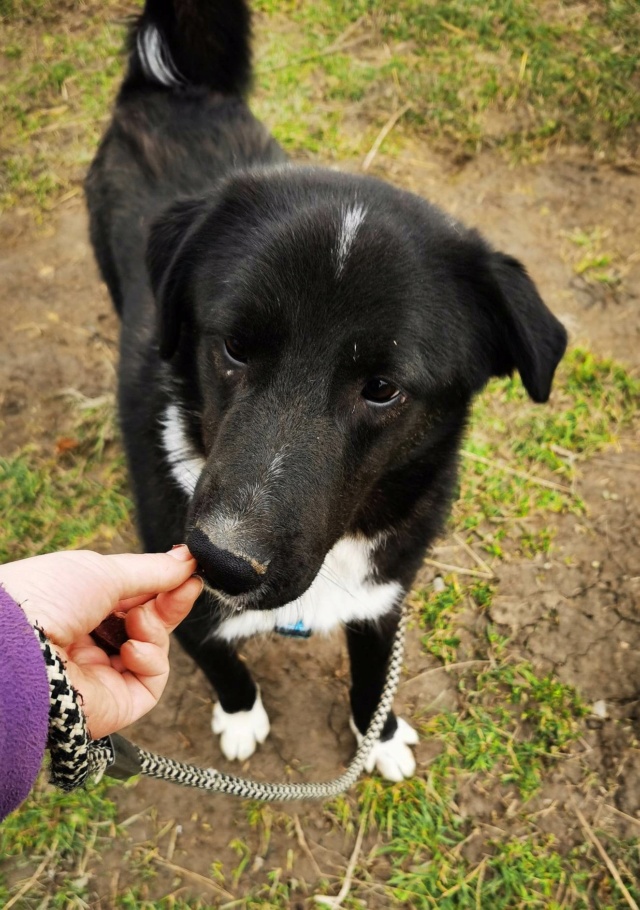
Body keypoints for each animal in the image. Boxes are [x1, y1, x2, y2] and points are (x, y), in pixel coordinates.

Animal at [85, 0, 564, 784]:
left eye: (383, 388)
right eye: (233, 347)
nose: (220, 561)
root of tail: (171, 87)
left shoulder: (383, 597)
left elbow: (373, 678)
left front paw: (380, 737)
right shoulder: (183, 607)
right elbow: (223, 663)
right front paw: (241, 718)